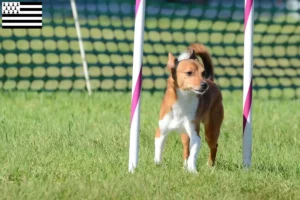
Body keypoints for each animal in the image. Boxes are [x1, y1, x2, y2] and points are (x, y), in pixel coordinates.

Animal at [155, 43, 223, 173]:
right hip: (185, 135)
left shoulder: (195, 135)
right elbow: (158, 150)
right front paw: (157, 165)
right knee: (186, 149)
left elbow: (193, 154)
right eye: (189, 73)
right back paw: (185, 166)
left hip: (211, 131)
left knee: (214, 146)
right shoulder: (161, 131)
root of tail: (210, 80)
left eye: (202, 73)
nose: (204, 85)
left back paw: (209, 165)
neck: (183, 101)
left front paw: (193, 170)